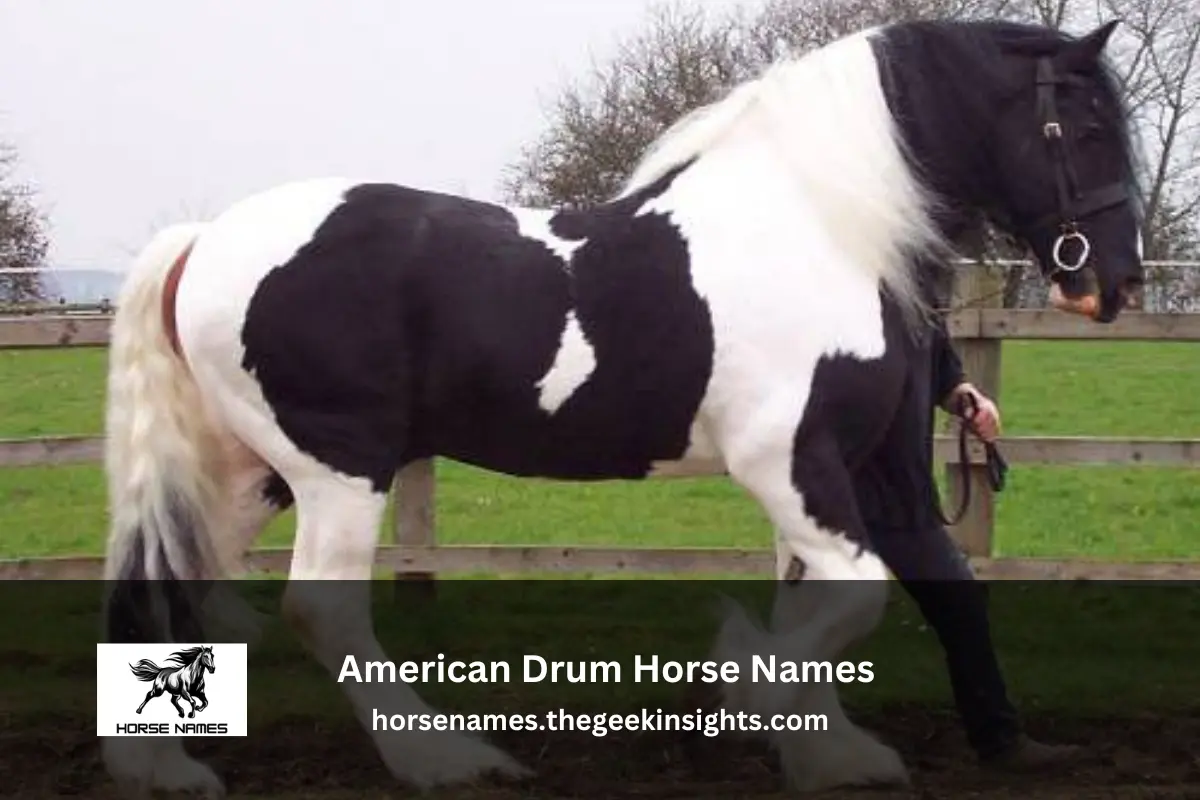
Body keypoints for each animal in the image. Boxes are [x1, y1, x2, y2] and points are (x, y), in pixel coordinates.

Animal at [99, 17, 1143, 798]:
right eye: (1089, 125)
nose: (1116, 284)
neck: (817, 225)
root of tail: (204, 240)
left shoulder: (819, 479)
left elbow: (822, 602)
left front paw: (817, 745)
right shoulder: (790, 462)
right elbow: (854, 596)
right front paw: (756, 692)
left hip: (251, 472)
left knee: (163, 579)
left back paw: (162, 769)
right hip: (338, 472)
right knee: (323, 613)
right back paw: (448, 759)